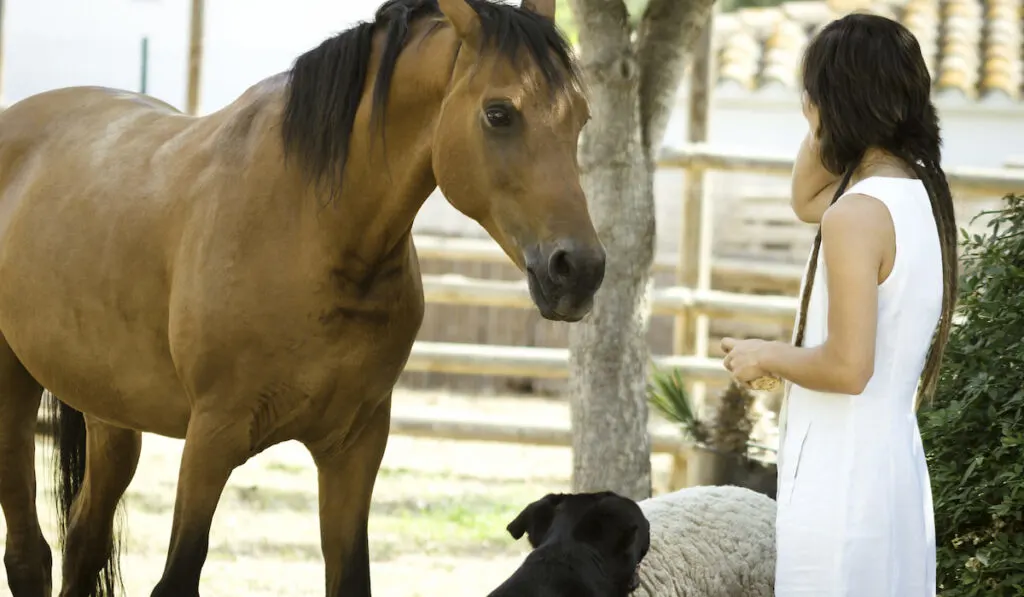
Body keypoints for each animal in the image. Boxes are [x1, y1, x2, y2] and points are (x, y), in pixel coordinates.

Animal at [0, 0, 602, 593]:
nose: (580, 270)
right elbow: (178, 576)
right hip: (15, 390)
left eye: (581, 118)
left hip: (112, 415)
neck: (310, 228)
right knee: (30, 555)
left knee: (83, 543)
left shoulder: (355, 446)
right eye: (499, 113)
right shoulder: (211, 439)